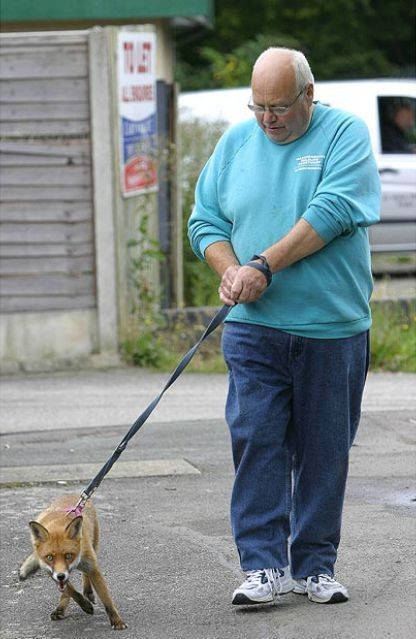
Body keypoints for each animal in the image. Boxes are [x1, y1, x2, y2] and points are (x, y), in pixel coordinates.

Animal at [19, 496, 127, 632]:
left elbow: (106, 598)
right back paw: (60, 609)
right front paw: (85, 605)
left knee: (85, 575)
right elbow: (71, 591)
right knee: (66, 591)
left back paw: (88, 592)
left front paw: (117, 620)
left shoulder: (92, 566)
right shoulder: (49, 571)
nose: (60, 576)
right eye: (50, 557)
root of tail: (73, 495)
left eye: (68, 555)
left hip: (94, 546)